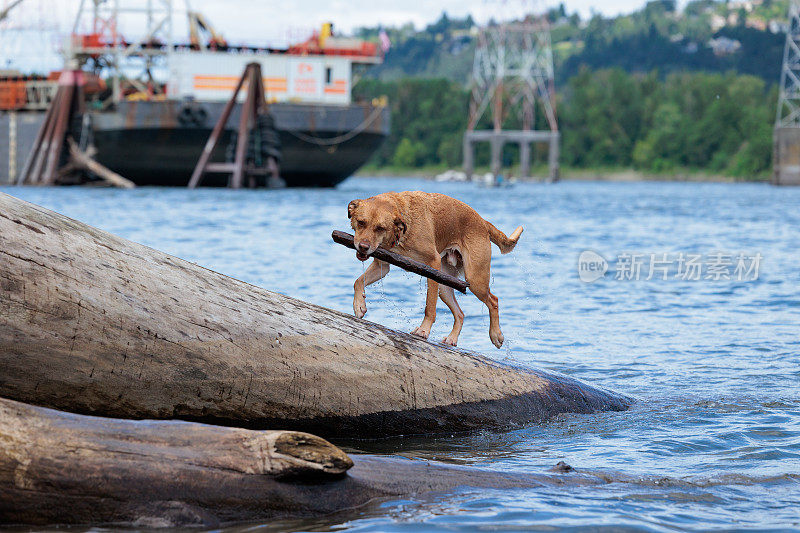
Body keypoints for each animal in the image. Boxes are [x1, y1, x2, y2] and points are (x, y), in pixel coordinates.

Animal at [346, 191, 520, 350]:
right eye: (361, 223)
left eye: (380, 228)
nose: (363, 247)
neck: (402, 229)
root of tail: (483, 222)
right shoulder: (381, 265)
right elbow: (357, 282)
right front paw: (359, 305)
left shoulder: (433, 264)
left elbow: (430, 307)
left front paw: (423, 330)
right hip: (444, 285)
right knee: (460, 313)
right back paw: (452, 339)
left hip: (475, 279)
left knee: (494, 300)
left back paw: (496, 334)